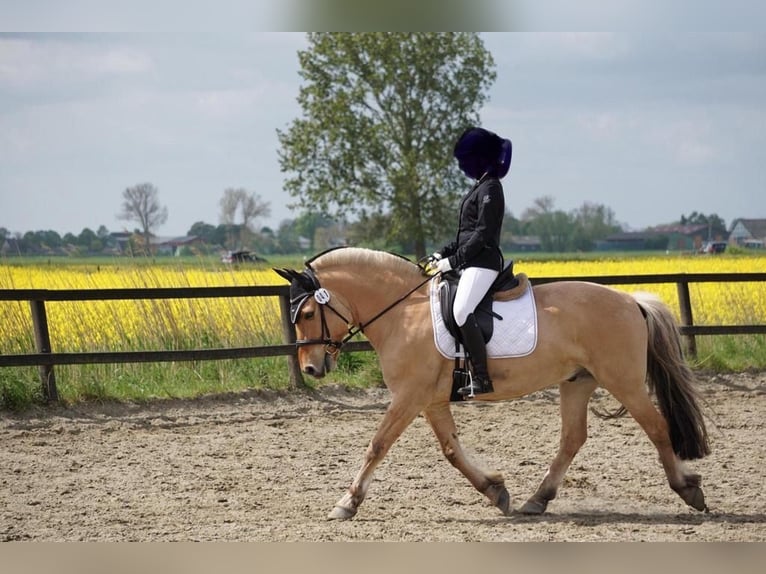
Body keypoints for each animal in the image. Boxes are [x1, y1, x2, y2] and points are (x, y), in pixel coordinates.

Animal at [274, 247, 710, 520]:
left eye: (308, 313)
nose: (310, 368)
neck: (402, 312)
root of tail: (631, 301)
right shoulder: (430, 400)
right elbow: (451, 450)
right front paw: (495, 491)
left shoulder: (409, 396)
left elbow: (377, 445)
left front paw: (346, 504)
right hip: (577, 382)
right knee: (573, 438)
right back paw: (537, 499)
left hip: (623, 380)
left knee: (656, 427)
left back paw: (688, 489)